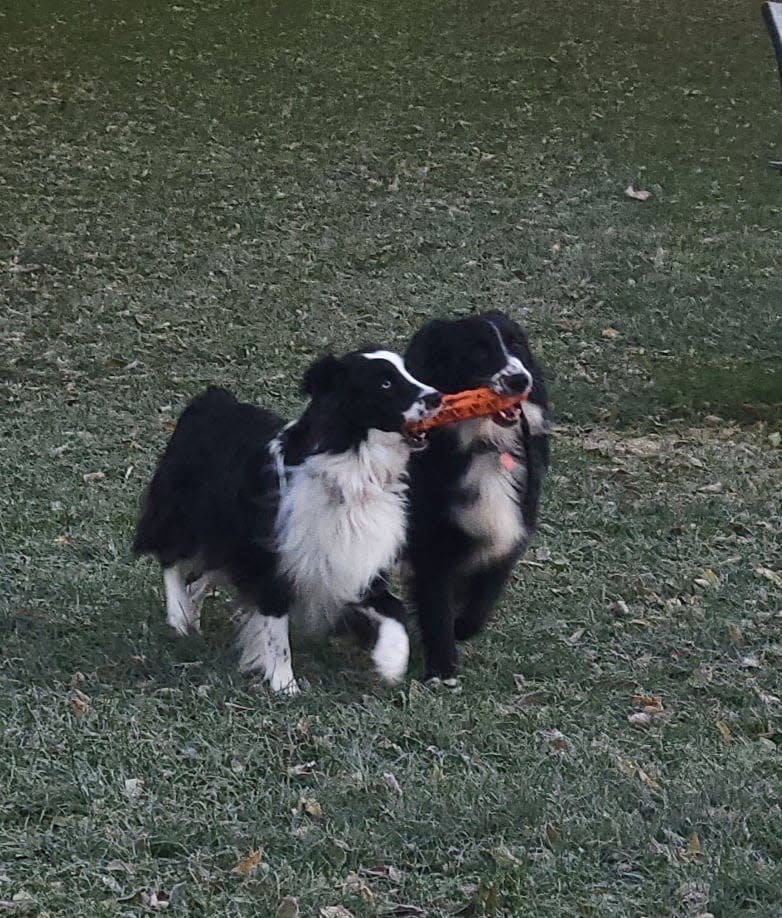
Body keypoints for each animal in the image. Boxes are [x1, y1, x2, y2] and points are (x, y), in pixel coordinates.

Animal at [132, 348, 444, 692]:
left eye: (409, 372)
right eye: (385, 383)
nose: (437, 397)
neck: (351, 465)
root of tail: (210, 400)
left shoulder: (350, 558)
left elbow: (393, 607)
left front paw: (392, 661)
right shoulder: (275, 560)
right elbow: (276, 628)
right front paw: (285, 686)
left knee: (199, 579)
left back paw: (191, 617)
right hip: (185, 514)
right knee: (168, 554)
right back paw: (177, 613)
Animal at [402, 310, 556, 684]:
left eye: (518, 345)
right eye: (479, 352)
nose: (519, 380)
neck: (486, 445)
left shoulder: (511, 532)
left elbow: (483, 598)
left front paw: (464, 628)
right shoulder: (431, 547)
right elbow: (437, 610)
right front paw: (443, 670)